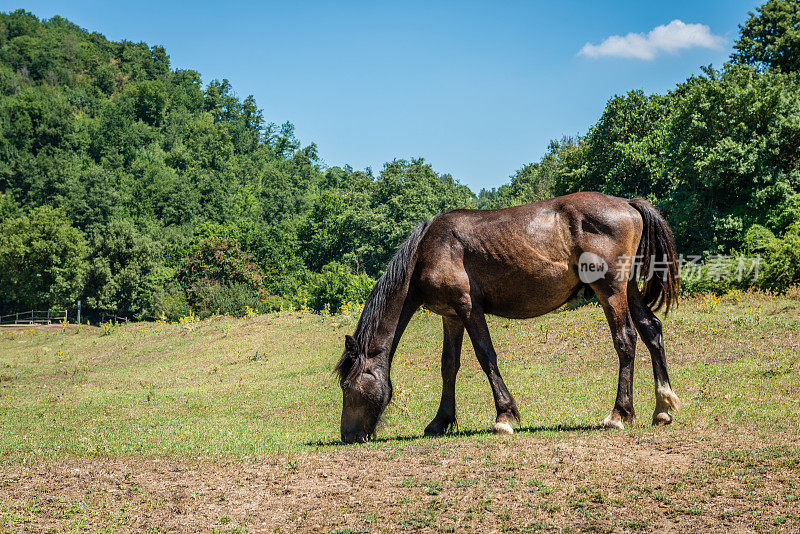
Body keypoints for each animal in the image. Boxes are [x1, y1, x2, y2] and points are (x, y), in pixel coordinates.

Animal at [334, 193, 680, 444]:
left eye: (347, 385)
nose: (348, 436)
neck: (427, 251)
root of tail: (628, 204)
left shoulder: (467, 307)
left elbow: (485, 355)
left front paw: (504, 416)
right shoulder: (451, 316)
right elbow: (449, 366)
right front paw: (439, 422)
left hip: (609, 289)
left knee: (626, 340)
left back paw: (619, 414)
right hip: (629, 288)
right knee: (651, 331)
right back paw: (662, 407)